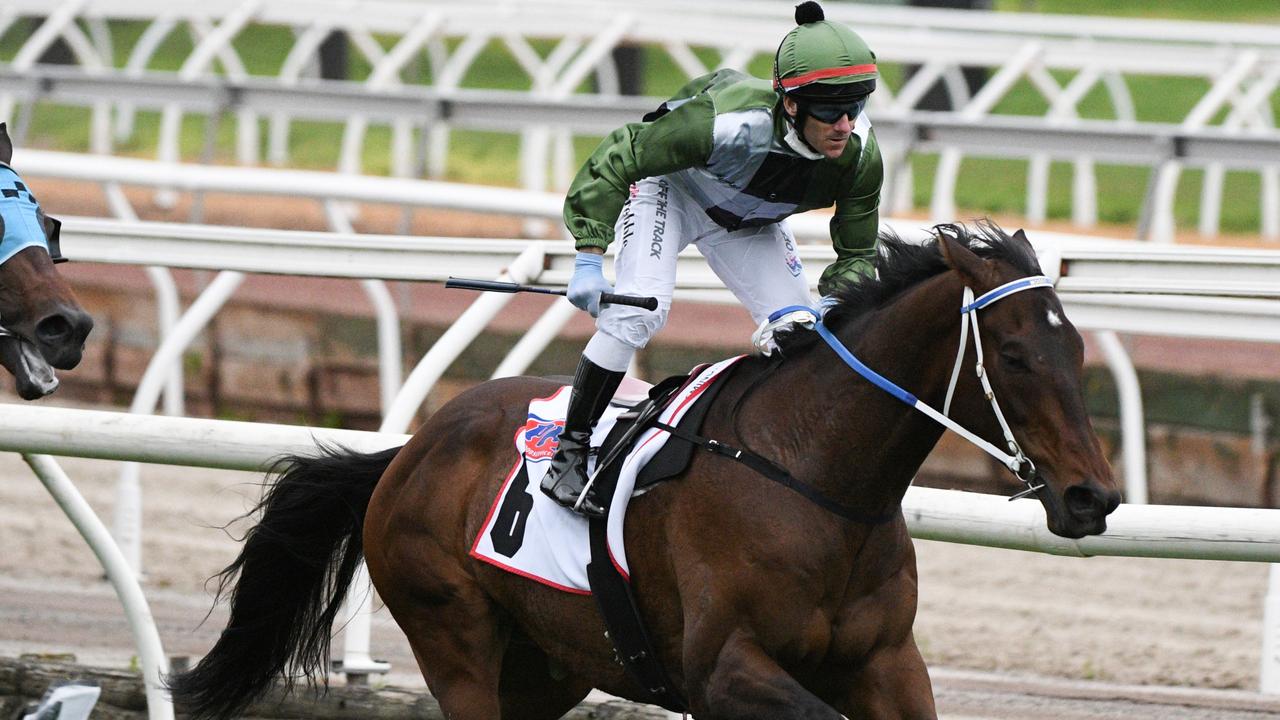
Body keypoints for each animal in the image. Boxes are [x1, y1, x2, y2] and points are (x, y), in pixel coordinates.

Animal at [172, 221, 1121, 712]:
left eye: (1075, 349)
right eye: (1014, 355)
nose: (1093, 495)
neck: (814, 478)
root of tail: (409, 450)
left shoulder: (887, 662)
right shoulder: (723, 668)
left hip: (544, 667)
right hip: (455, 635)